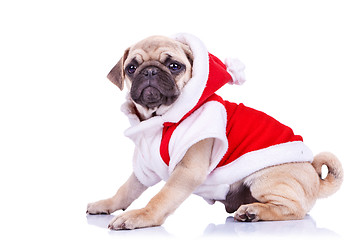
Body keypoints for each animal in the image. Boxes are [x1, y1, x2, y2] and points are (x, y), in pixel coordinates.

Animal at [86, 32, 344, 230]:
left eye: (174, 66)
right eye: (131, 68)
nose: (149, 71)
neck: (161, 119)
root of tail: (313, 173)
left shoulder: (187, 170)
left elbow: (161, 197)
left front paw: (141, 216)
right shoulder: (145, 168)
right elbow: (126, 190)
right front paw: (107, 204)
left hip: (265, 179)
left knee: (295, 209)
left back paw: (254, 212)